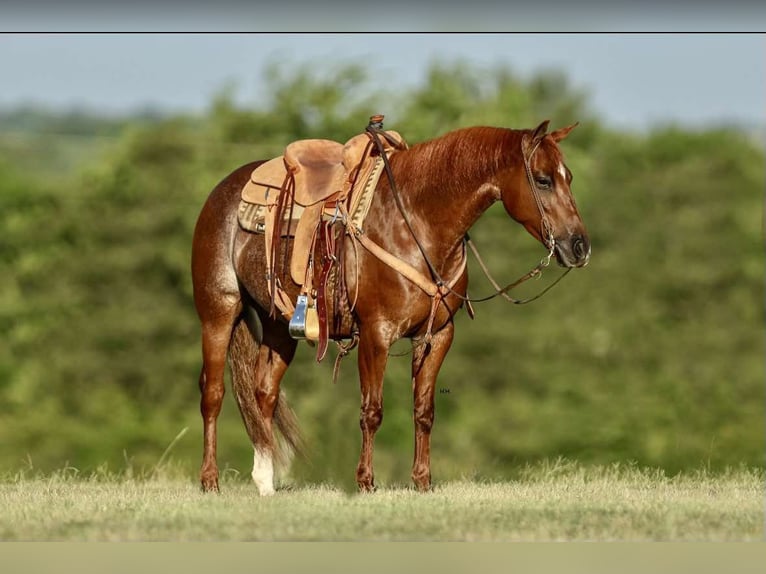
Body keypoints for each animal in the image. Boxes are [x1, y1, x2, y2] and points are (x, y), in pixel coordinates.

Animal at [192, 118, 592, 496]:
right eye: (543, 180)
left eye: (569, 177)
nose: (579, 247)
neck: (416, 222)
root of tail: (222, 190)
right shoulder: (376, 334)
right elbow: (372, 411)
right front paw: (366, 482)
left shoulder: (438, 335)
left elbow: (424, 411)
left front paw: (422, 482)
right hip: (218, 312)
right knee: (213, 394)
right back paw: (210, 480)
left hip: (280, 326)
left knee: (264, 393)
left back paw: (265, 481)